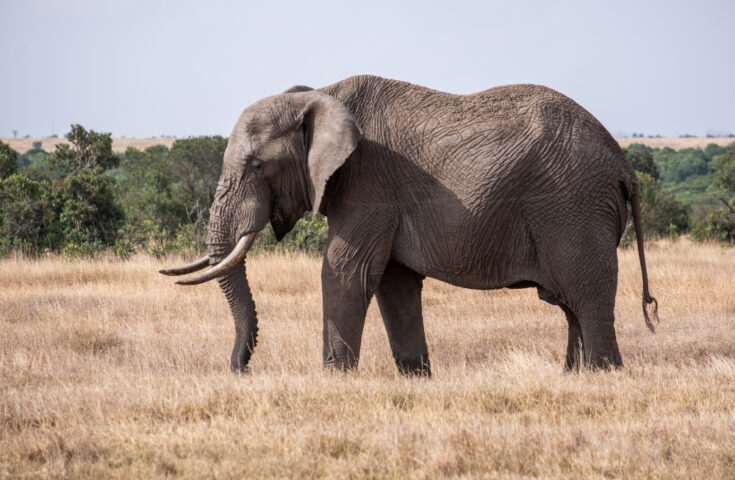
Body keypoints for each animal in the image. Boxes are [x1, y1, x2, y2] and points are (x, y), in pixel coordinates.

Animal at [160, 74, 656, 376]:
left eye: (257, 165)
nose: (240, 369)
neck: (320, 93)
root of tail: (624, 165)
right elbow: (393, 283)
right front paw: (417, 377)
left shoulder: (368, 181)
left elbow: (346, 271)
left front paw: (335, 378)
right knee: (570, 303)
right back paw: (573, 375)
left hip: (574, 206)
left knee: (587, 296)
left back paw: (604, 375)